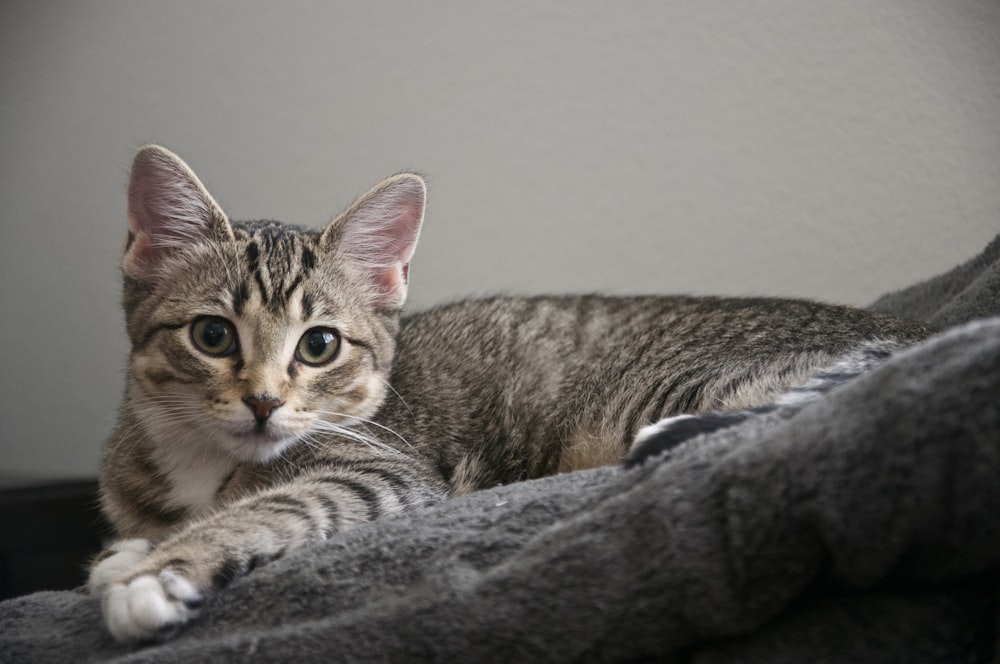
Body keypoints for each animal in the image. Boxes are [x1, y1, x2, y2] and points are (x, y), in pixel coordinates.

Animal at [88, 147, 928, 644]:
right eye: (213, 336)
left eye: (318, 346)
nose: (263, 402)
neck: (202, 462)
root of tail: (918, 331)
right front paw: (135, 549)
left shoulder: (385, 471)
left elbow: (279, 504)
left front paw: (157, 570)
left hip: (657, 397)